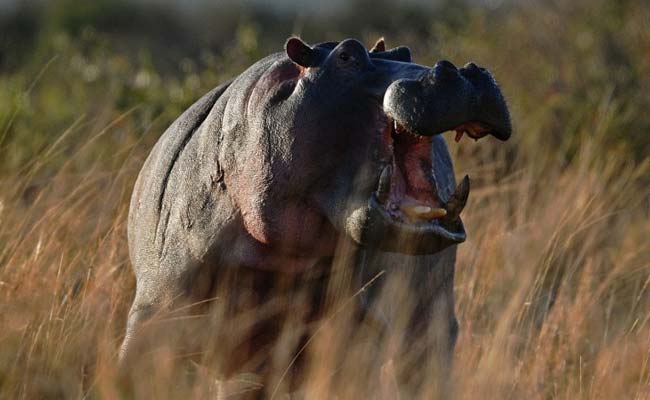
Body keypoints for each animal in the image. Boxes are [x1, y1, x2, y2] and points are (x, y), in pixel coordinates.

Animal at [120, 37, 511, 396]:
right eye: (347, 55)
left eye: (405, 52)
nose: (463, 73)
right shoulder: (155, 313)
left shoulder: (357, 336)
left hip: (430, 325)